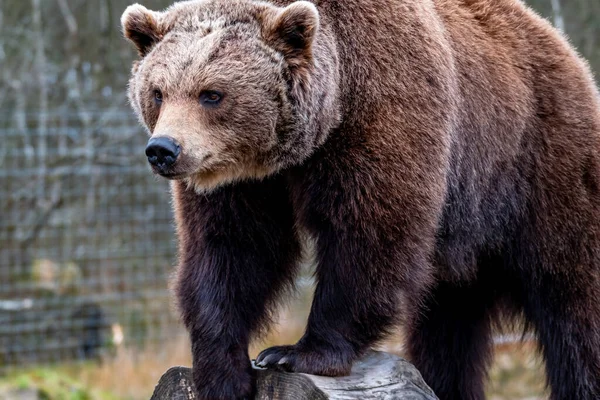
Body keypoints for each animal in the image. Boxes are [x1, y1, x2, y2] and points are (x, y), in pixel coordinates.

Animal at [120, 0, 600, 398]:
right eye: (158, 91)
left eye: (212, 94)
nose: (163, 149)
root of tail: (567, 50)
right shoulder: (241, 185)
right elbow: (233, 251)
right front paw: (222, 371)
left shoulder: (384, 117)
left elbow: (369, 239)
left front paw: (296, 352)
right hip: (464, 247)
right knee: (446, 328)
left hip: (537, 171)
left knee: (573, 304)